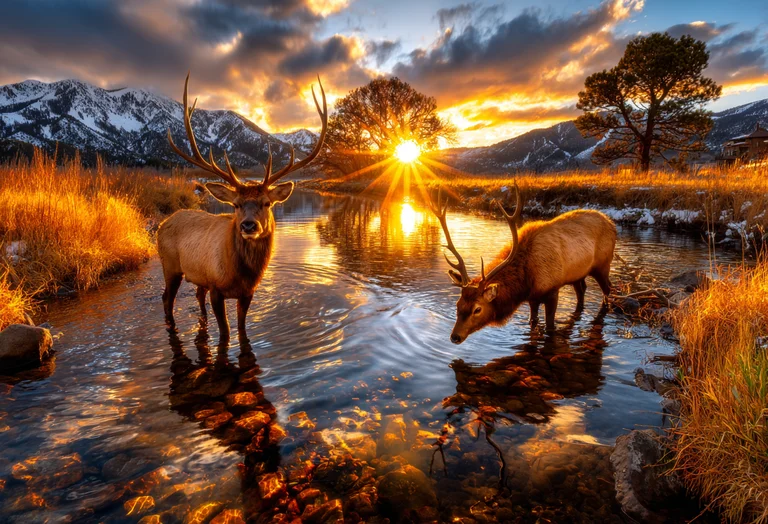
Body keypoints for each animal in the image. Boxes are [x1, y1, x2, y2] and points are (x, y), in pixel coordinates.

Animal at [157, 73, 327, 341]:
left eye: (267, 203)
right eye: (235, 205)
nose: (248, 225)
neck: (240, 276)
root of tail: (163, 223)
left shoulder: (248, 293)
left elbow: (242, 329)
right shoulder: (216, 287)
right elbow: (226, 333)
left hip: (197, 276)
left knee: (197, 296)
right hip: (170, 265)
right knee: (166, 298)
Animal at [428, 186, 616, 344]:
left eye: (477, 309)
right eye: (458, 304)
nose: (455, 336)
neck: (526, 280)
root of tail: (611, 223)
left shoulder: (552, 290)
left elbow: (550, 327)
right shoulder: (532, 298)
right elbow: (532, 321)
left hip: (603, 265)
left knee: (607, 289)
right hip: (578, 274)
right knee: (581, 290)